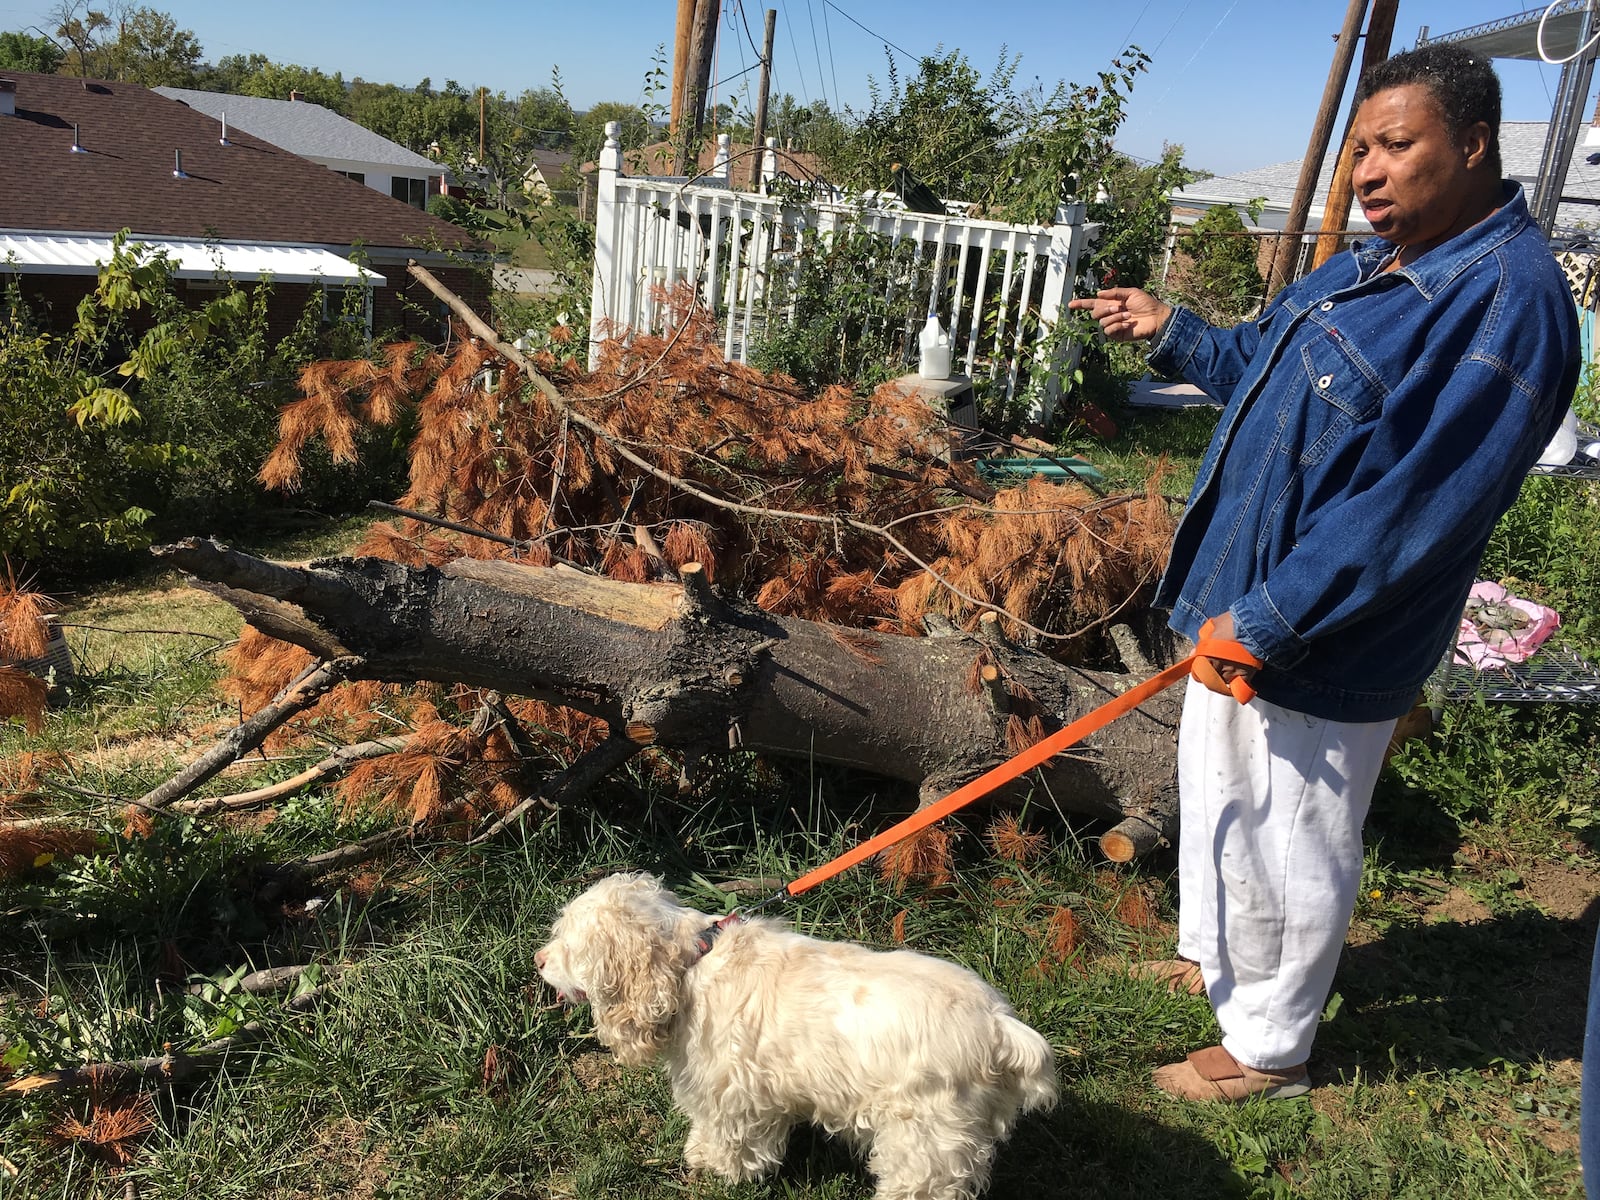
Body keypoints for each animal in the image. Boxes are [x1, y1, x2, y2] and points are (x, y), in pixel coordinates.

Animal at [537, 876, 1062, 1200]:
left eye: (568, 944)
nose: (538, 959)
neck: (694, 961)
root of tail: (999, 1024)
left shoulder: (734, 1093)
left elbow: (729, 1139)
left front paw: (716, 1167)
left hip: (926, 1138)